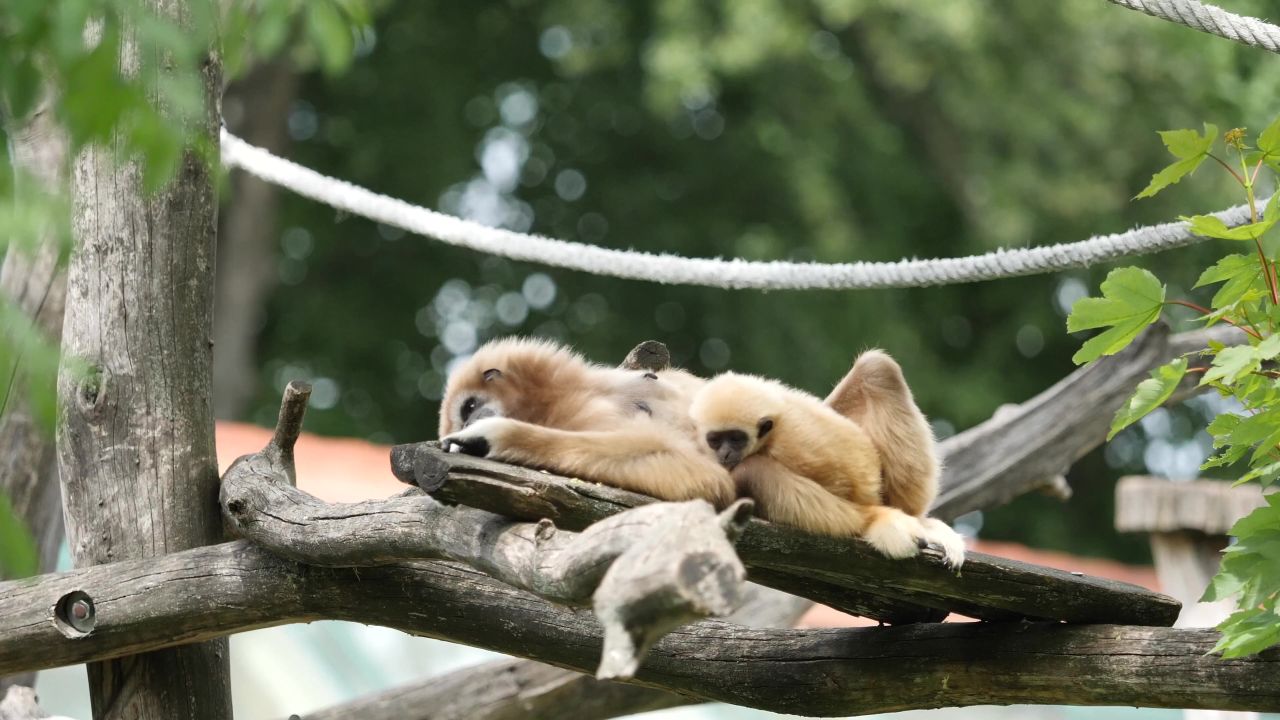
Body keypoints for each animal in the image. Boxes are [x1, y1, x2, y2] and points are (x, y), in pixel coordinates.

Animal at [689, 371, 965, 568]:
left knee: (751, 469)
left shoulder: (794, 445)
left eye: (736, 439)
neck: (775, 427)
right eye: (716, 440)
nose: (725, 453)